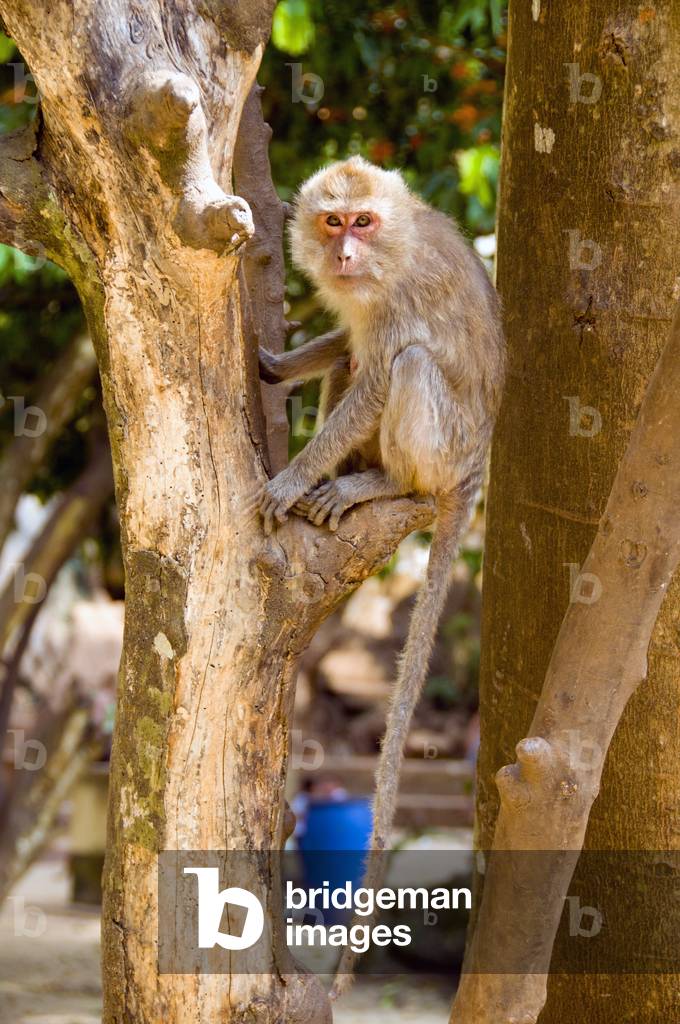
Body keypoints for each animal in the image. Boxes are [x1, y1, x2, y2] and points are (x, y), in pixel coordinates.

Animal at [257, 156, 505, 993]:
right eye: (334, 223)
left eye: (363, 223)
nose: (345, 253)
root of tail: (473, 470)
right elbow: (346, 345)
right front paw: (279, 362)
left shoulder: (399, 292)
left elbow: (378, 379)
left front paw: (293, 476)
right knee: (359, 356)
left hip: (447, 448)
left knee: (406, 365)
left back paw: (382, 485)